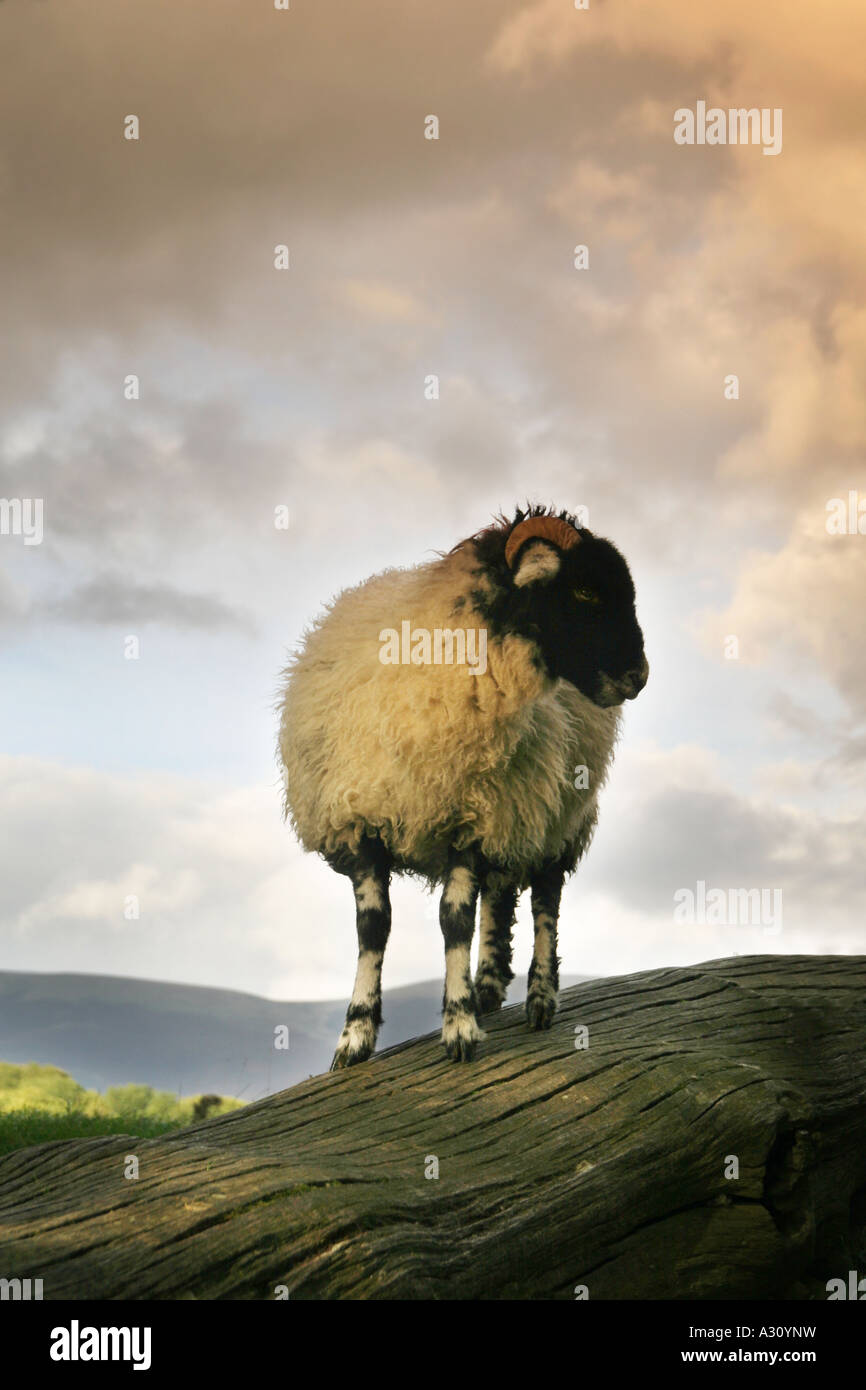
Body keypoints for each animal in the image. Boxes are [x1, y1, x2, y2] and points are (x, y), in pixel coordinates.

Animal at [278, 505, 650, 1067]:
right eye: (585, 591)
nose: (640, 675)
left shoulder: (470, 819)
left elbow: (454, 919)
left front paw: (458, 1024)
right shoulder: (362, 821)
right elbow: (373, 929)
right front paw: (355, 1035)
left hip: (557, 817)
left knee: (545, 900)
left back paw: (539, 997)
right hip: (516, 811)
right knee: (500, 894)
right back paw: (490, 986)